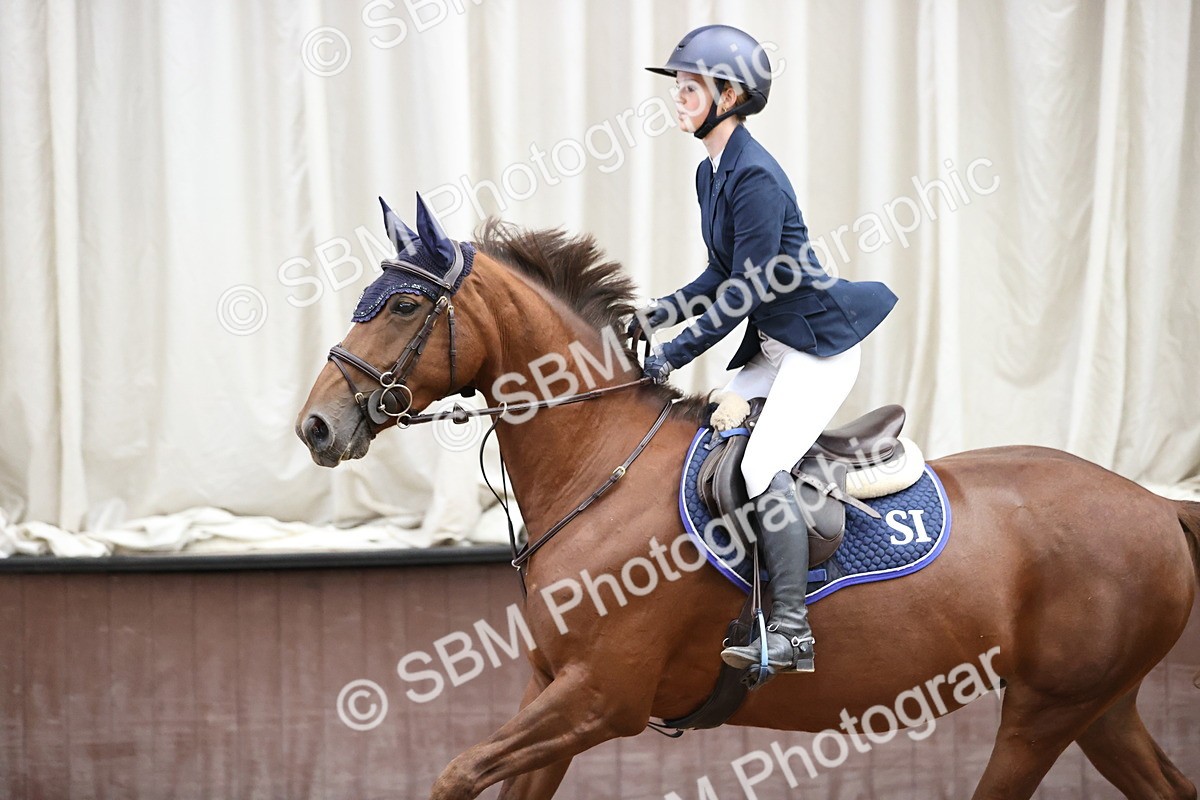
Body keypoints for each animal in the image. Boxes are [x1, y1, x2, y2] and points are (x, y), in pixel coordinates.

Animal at [296, 208, 1199, 799]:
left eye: (404, 305)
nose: (316, 425)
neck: (598, 463)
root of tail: (1155, 504)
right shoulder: (553, 690)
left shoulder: (603, 698)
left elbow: (454, 774)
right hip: (1101, 709)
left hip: (1048, 710)